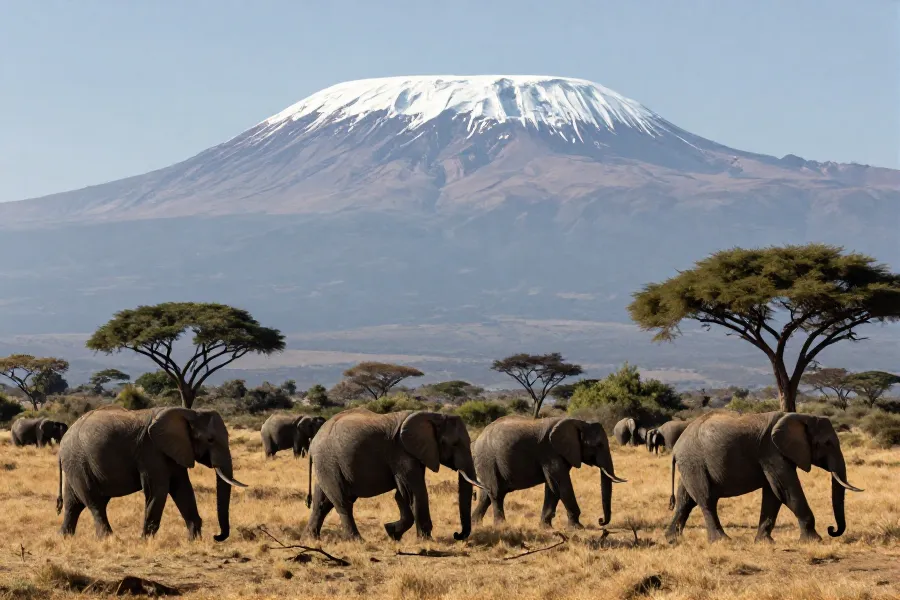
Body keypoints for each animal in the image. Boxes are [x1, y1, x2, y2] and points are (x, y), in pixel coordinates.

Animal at [57, 405, 247, 541]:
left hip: (75, 464)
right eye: (210, 440)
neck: (189, 413)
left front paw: (194, 540)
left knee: (74, 503)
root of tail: (64, 437)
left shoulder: (175, 450)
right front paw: (144, 541)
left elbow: (183, 488)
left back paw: (64, 537)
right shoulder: (150, 451)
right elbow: (159, 489)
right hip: (78, 462)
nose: (217, 536)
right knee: (94, 502)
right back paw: (108, 539)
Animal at [306, 408, 484, 541]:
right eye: (454, 444)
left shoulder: (415, 453)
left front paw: (391, 532)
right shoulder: (401, 452)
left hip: (325, 466)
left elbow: (403, 493)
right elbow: (414, 491)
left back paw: (311, 538)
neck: (433, 415)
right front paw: (425, 540)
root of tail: (314, 441)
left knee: (322, 503)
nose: (457, 534)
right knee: (343, 502)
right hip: (329, 462)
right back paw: (357, 540)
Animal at [472, 416, 627, 529]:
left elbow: (552, 487)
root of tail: (479, 436)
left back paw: (475, 525)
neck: (579, 422)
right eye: (598, 445)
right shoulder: (550, 452)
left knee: (486, 496)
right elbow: (560, 484)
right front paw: (578, 527)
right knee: (496, 493)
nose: (600, 521)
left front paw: (546, 528)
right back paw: (501, 526)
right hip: (487, 461)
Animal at [666, 411, 863, 544]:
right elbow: (785, 490)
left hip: (690, 465)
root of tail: (676, 448)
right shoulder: (771, 451)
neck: (801, 417)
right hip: (694, 462)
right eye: (827, 443)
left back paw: (672, 539)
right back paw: (722, 540)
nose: (832, 529)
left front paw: (764, 542)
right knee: (706, 500)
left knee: (686, 500)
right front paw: (814, 541)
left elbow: (774, 493)